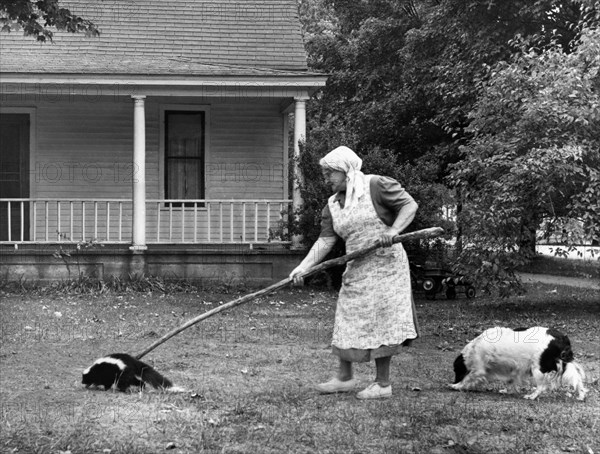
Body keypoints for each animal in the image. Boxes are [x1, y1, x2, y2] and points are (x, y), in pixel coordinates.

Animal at [450, 326, 584, 400]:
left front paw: (456, 386)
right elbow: (511, 381)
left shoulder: (478, 370)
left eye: (456, 371)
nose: (455, 381)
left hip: (538, 368)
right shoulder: (513, 369)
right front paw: (508, 390)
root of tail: (561, 337)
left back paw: (532, 396)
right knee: (577, 379)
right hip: (564, 362)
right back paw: (581, 395)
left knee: (542, 386)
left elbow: (467, 378)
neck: (472, 349)